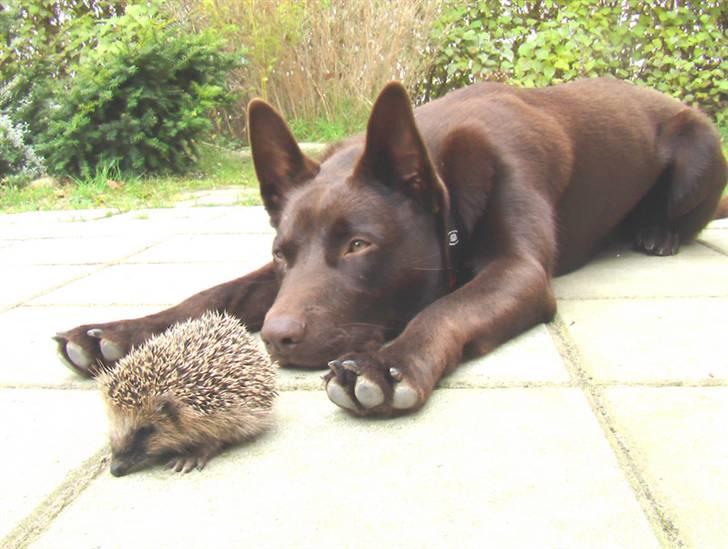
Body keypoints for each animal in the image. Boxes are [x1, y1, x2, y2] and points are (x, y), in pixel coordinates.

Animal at [58, 78, 728, 416]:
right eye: (280, 254)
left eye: (359, 245)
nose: (274, 339)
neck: (443, 174)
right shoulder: (271, 284)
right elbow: (215, 293)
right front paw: (116, 332)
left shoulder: (517, 271)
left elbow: (447, 308)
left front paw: (388, 364)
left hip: (700, 148)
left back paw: (656, 233)